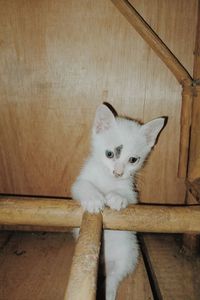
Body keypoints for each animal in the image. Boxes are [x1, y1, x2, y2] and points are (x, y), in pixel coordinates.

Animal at [71, 103, 165, 300]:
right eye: (109, 154)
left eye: (133, 159)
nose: (118, 173)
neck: (108, 180)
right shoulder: (79, 182)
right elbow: (83, 186)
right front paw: (93, 199)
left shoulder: (131, 191)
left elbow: (128, 197)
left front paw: (116, 198)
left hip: (129, 256)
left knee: (114, 277)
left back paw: (108, 291)